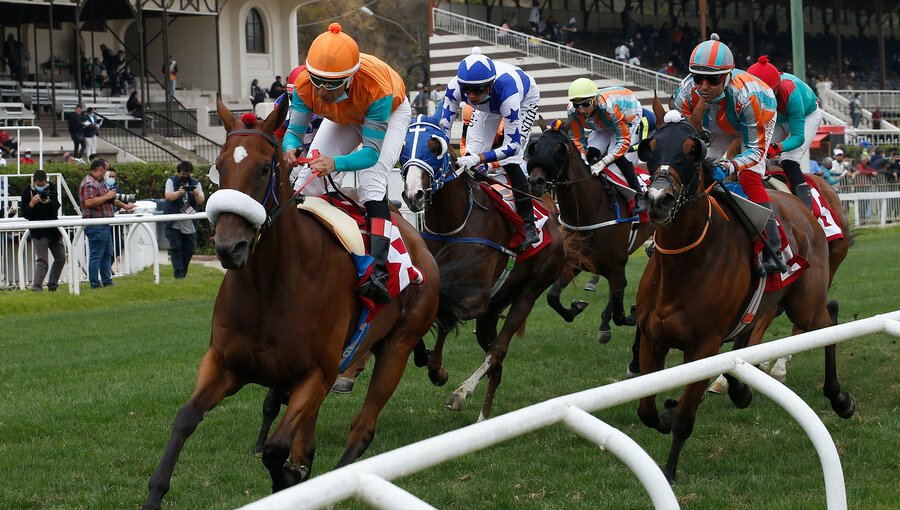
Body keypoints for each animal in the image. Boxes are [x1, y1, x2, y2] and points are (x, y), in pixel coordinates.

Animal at [142, 97, 442, 508]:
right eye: (220, 165)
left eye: (264, 167)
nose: (229, 247)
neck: (270, 288)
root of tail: (419, 243)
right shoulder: (224, 363)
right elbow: (186, 418)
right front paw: (154, 494)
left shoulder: (316, 374)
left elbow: (275, 448)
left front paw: (287, 479)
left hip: (396, 346)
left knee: (362, 430)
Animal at [400, 116, 564, 422]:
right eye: (404, 147)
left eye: (435, 147)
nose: (412, 195)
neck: (452, 224)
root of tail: (551, 216)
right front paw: (429, 361)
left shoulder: (473, 298)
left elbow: (444, 315)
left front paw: (436, 368)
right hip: (493, 309)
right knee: (497, 365)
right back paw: (483, 419)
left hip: (529, 291)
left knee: (498, 351)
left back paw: (462, 393)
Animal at [528, 119, 652, 342]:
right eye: (536, 146)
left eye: (559, 149)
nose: (535, 181)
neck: (590, 210)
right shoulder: (578, 260)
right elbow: (552, 297)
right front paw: (576, 308)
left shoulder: (616, 265)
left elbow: (621, 314)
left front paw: (632, 313)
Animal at [636, 98, 856, 482]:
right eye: (650, 146)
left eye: (693, 151)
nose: (659, 199)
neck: (683, 265)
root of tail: (801, 206)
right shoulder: (652, 337)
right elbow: (646, 411)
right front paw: (667, 412)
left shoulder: (704, 346)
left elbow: (684, 421)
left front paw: (669, 470)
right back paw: (737, 386)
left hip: (805, 302)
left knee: (827, 318)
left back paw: (838, 398)